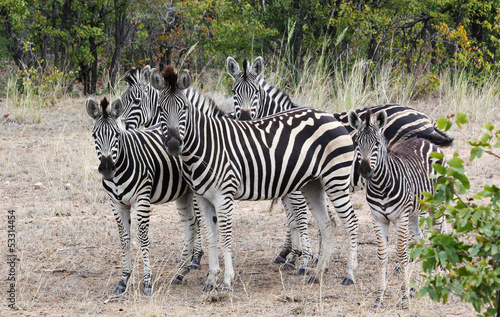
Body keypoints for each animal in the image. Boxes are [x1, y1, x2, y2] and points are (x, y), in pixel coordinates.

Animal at [86, 95, 201, 294]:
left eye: (117, 135)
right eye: (94, 136)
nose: (107, 168)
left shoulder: (142, 199)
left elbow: (143, 238)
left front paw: (147, 282)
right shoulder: (117, 204)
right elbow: (124, 239)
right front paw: (123, 280)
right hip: (183, 194)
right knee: (190, 225)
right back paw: (180, 272)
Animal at [119, 65, 318, 274]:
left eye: (136, 101)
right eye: (121, 101)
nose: (123, 128)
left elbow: (198, 219)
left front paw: (196, 257)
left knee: (301, 212)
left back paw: (304, 259)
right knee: (295, 214)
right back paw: (291, 255)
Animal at [150, 66, 358, 292]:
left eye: (185, 109)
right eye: (160, 109)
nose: (173, 144)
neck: (206, 145)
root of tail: (331, 117)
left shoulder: (224, 196)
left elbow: (225, 238)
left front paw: (226, 281)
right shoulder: (203, 198)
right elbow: (211, 238)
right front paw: (211, 279)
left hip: (335, 179)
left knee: (351, 222)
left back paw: (349, 275)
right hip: (313, 184)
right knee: (328, 225)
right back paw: (317, 274)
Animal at [227, 55, 454, 264]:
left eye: (256, 92)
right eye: (234, 92)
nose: (245, 118)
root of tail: (425, 118)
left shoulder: (295, 182)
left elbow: (299, 218)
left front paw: (300, 257)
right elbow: (295, 219)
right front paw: (295, 253)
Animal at [348, 108, 446, 306]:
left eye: (377, 143)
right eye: (357, 143)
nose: (364, 170)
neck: (380, 186)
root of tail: (425, 141)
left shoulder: (400, 218)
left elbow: (402, 253)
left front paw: (404, 297)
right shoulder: (378, 219)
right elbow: (382, 254)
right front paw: (380, 296)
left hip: (436, 206)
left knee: (437, 236)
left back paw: (436, 278)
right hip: (414, 214)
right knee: (420, 240)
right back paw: (418, 284)